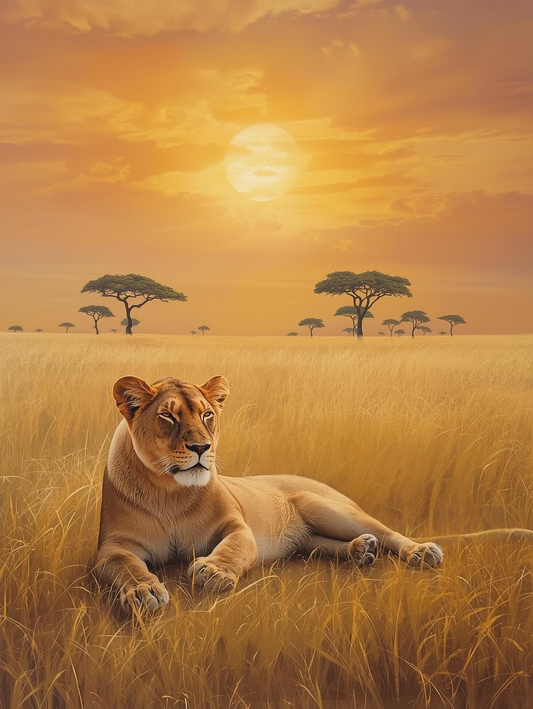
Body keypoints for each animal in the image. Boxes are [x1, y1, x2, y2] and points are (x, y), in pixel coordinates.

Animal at [94, 374, 533, 612]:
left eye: (207, 415)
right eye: (168, 417)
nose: (202, 447)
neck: (169, 492)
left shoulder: (237, 526)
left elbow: (233, 547)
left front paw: (214, 571)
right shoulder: (111, 547)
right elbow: (127, 565)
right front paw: (144, 590)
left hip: (320, 504)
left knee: (389, 532)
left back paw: (417, 551)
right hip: (308, 535)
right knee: (321, 544)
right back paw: (361, 551)